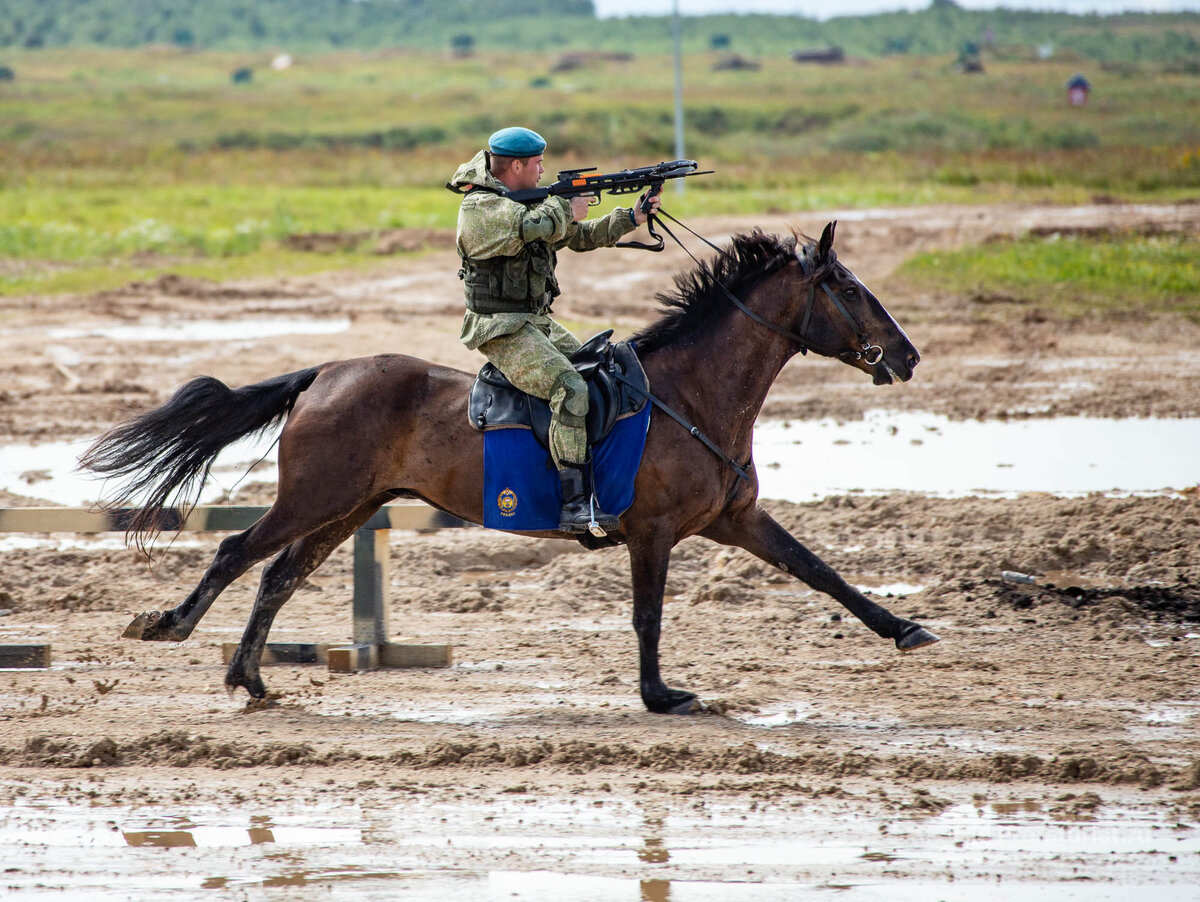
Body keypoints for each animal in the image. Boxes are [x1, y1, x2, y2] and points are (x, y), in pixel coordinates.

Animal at [82, 224, 936, 710]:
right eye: (849, 287)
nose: (906, 356)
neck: (691, 394)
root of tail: (327, 372)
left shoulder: (737, 520)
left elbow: (821, 571)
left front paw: (905, 629)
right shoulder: (653, 534)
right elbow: (648, 615)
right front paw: (661, 696)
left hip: (350, 507)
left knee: (278, 575)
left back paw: (251, 679)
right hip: (316, 498)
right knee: (238, 552)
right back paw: (172, 627)